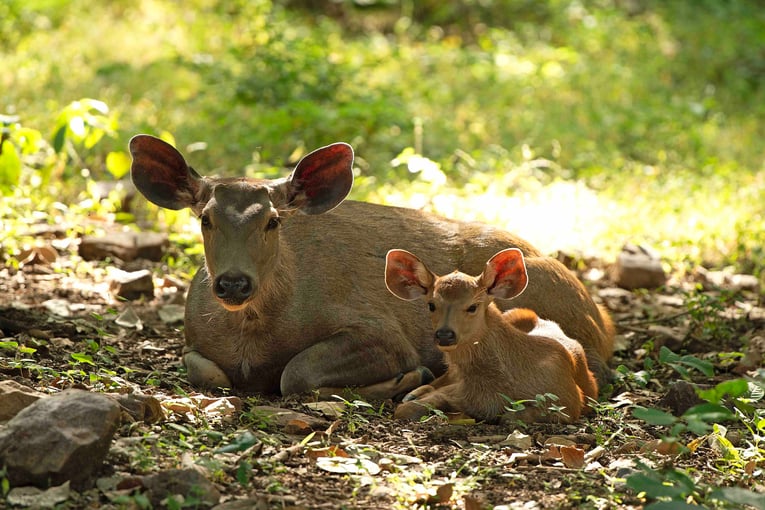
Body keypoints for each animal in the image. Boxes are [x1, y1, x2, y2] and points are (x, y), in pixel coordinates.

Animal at [128, 135, 612, 398]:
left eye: (273, 220)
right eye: (205, 218)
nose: (233, 283)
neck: (251, 340)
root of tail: (603, 321)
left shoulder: (382, 331)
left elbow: (295, 372)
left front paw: (404, 378)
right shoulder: (193, 339)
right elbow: (209, 373)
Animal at [388, 248, 596, 422]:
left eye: (473, 306)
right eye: (431, 305)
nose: (445, 335)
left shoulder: (568, 398)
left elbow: (510, 417)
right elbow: (407, 408)